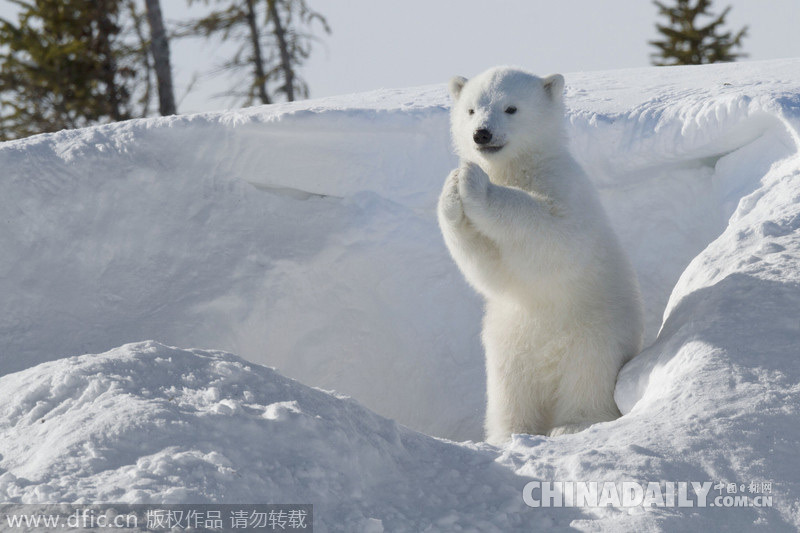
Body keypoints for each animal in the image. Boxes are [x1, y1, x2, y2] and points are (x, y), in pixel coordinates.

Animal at [437, 66, 644, 445]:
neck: (519, 167)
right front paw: (452, 189)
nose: (481, 134)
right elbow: (489, 267)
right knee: (510, 393)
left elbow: (554, 234)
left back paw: (572, 424)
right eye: (471, 109)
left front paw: (474, 183)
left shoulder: (564, 185)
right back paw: (510, 434)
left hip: (595, 334)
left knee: (587, 378)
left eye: (511, 108)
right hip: (509, 346)